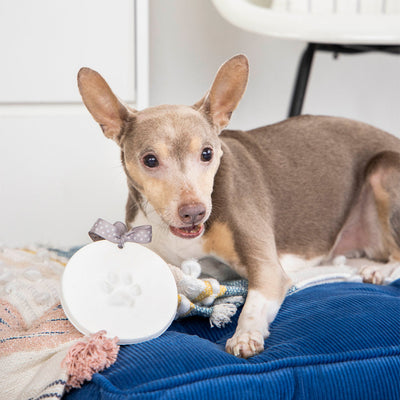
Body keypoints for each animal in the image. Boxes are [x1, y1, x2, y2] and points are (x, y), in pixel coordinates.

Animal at [79, 54, 400, 358]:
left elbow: (253, 304)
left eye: (207, 153)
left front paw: (245, 336)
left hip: (383, 169)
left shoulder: (268, 268)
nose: (193, 212)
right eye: (150, 160)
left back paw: (379, 271)